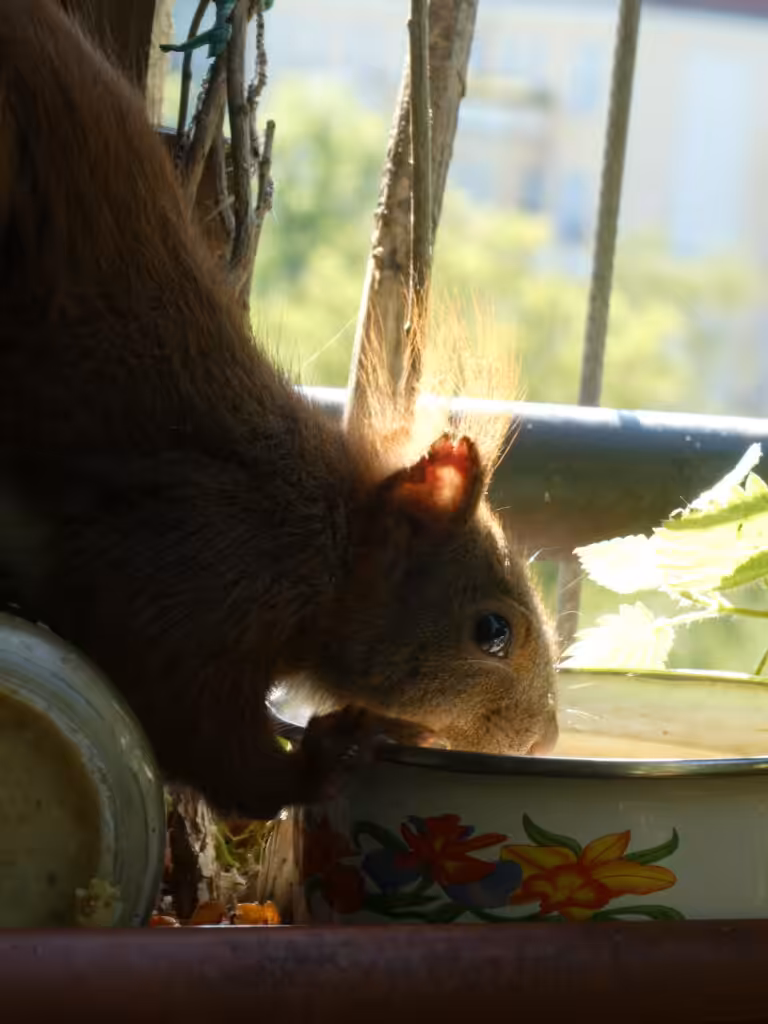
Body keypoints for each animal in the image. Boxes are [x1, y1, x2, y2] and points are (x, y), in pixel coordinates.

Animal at [0, 0, 558, 822]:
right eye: (491, 631)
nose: (547, 737)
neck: (324, 542)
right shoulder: (196, 569)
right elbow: (189, 715)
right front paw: (324, 758)